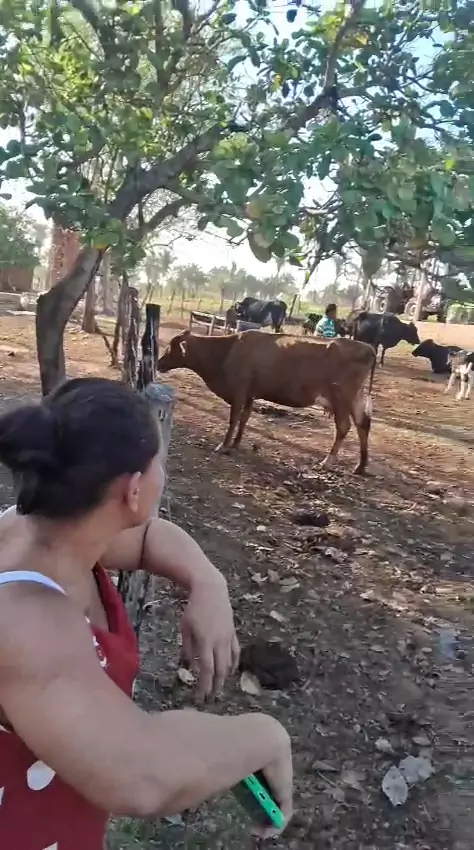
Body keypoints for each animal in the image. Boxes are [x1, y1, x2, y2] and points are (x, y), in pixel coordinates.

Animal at [157, 330, 377, 474]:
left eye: (169, 348)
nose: (158, 363)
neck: (227, 350)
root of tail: (367, 347)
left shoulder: (239, 391)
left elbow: (234, 418)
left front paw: (223, 445)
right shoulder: (250, 394)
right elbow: (244, 418)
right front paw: (236, 443)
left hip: (342, 398)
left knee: (344, 427)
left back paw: (327, 462)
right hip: (355, 398)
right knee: (363, 424)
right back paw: (361, 465)